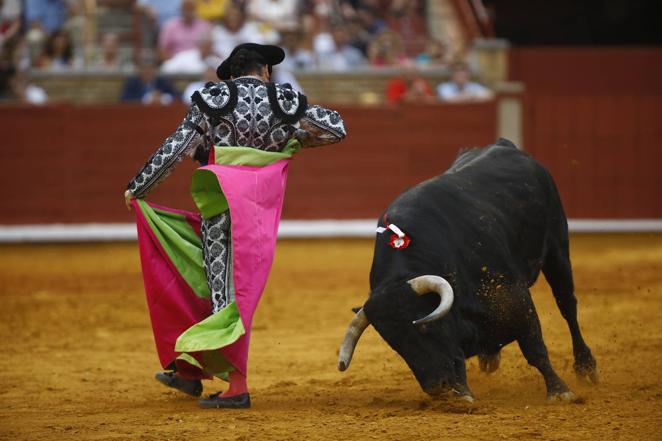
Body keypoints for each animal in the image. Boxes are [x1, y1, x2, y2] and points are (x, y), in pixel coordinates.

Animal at [340, 138, 600, 402]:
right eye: (394, 344)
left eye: (424, 327)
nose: (435, 387)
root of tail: (505, 145)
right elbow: (458, 358)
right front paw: (461, 394)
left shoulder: (515, 297)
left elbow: (535, 349)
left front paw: (559, 391)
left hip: (557, 250)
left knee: (567, 305)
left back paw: (586, 366)